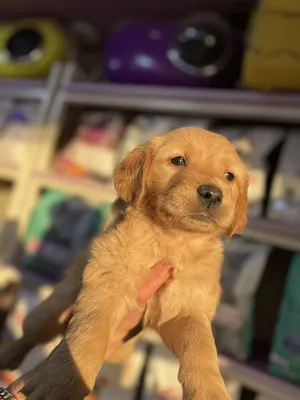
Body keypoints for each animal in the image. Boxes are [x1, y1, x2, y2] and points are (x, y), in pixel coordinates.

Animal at [5, 129, 248, 400]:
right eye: (178, 160)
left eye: (229, 176)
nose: (212, 194)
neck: (173, 241)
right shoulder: (108, 282)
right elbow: (90, 332)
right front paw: (60, 382)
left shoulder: (188, 308)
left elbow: (202, 346)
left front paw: (210, 391)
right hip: (49, 310)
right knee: (29, 335)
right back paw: (9, 357)